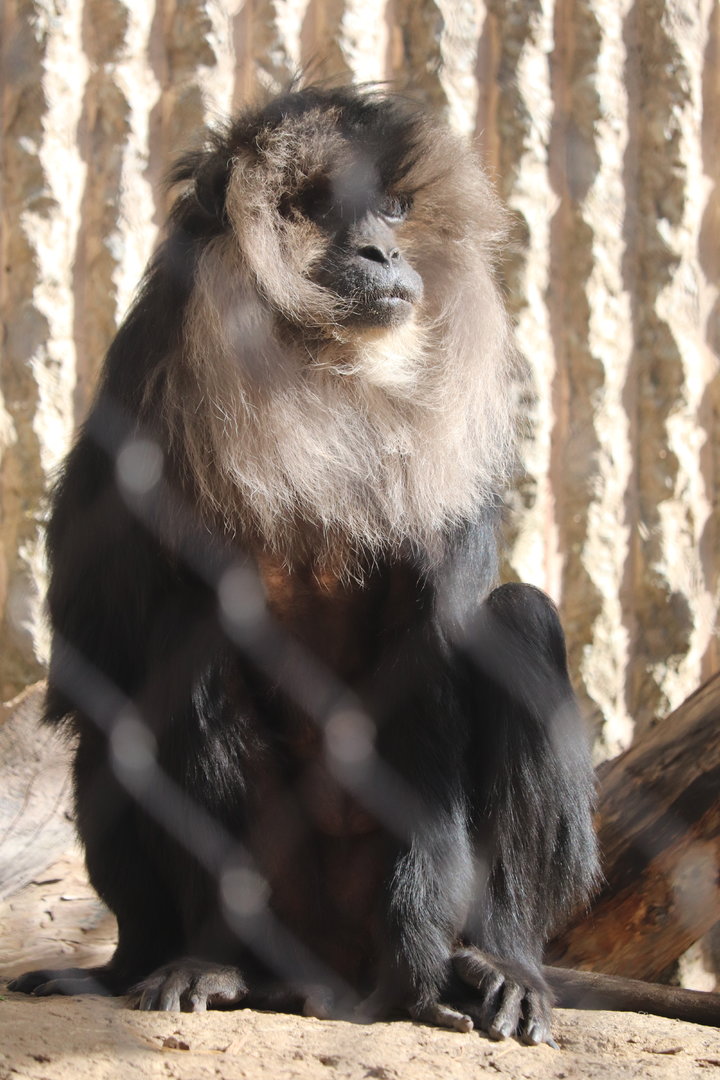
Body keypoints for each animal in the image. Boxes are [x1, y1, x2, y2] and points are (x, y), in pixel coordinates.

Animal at [8, 84, 719, 1041]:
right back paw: (191, 959)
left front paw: (426, 969)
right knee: (164, 658)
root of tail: (328, 972)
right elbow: (108, 643)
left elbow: (435, 649)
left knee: (518, 621)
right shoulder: (145, 384)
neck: (326, 371)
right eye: (318, 207)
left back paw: (493, 960)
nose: (382, 250)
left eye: (392, 209)